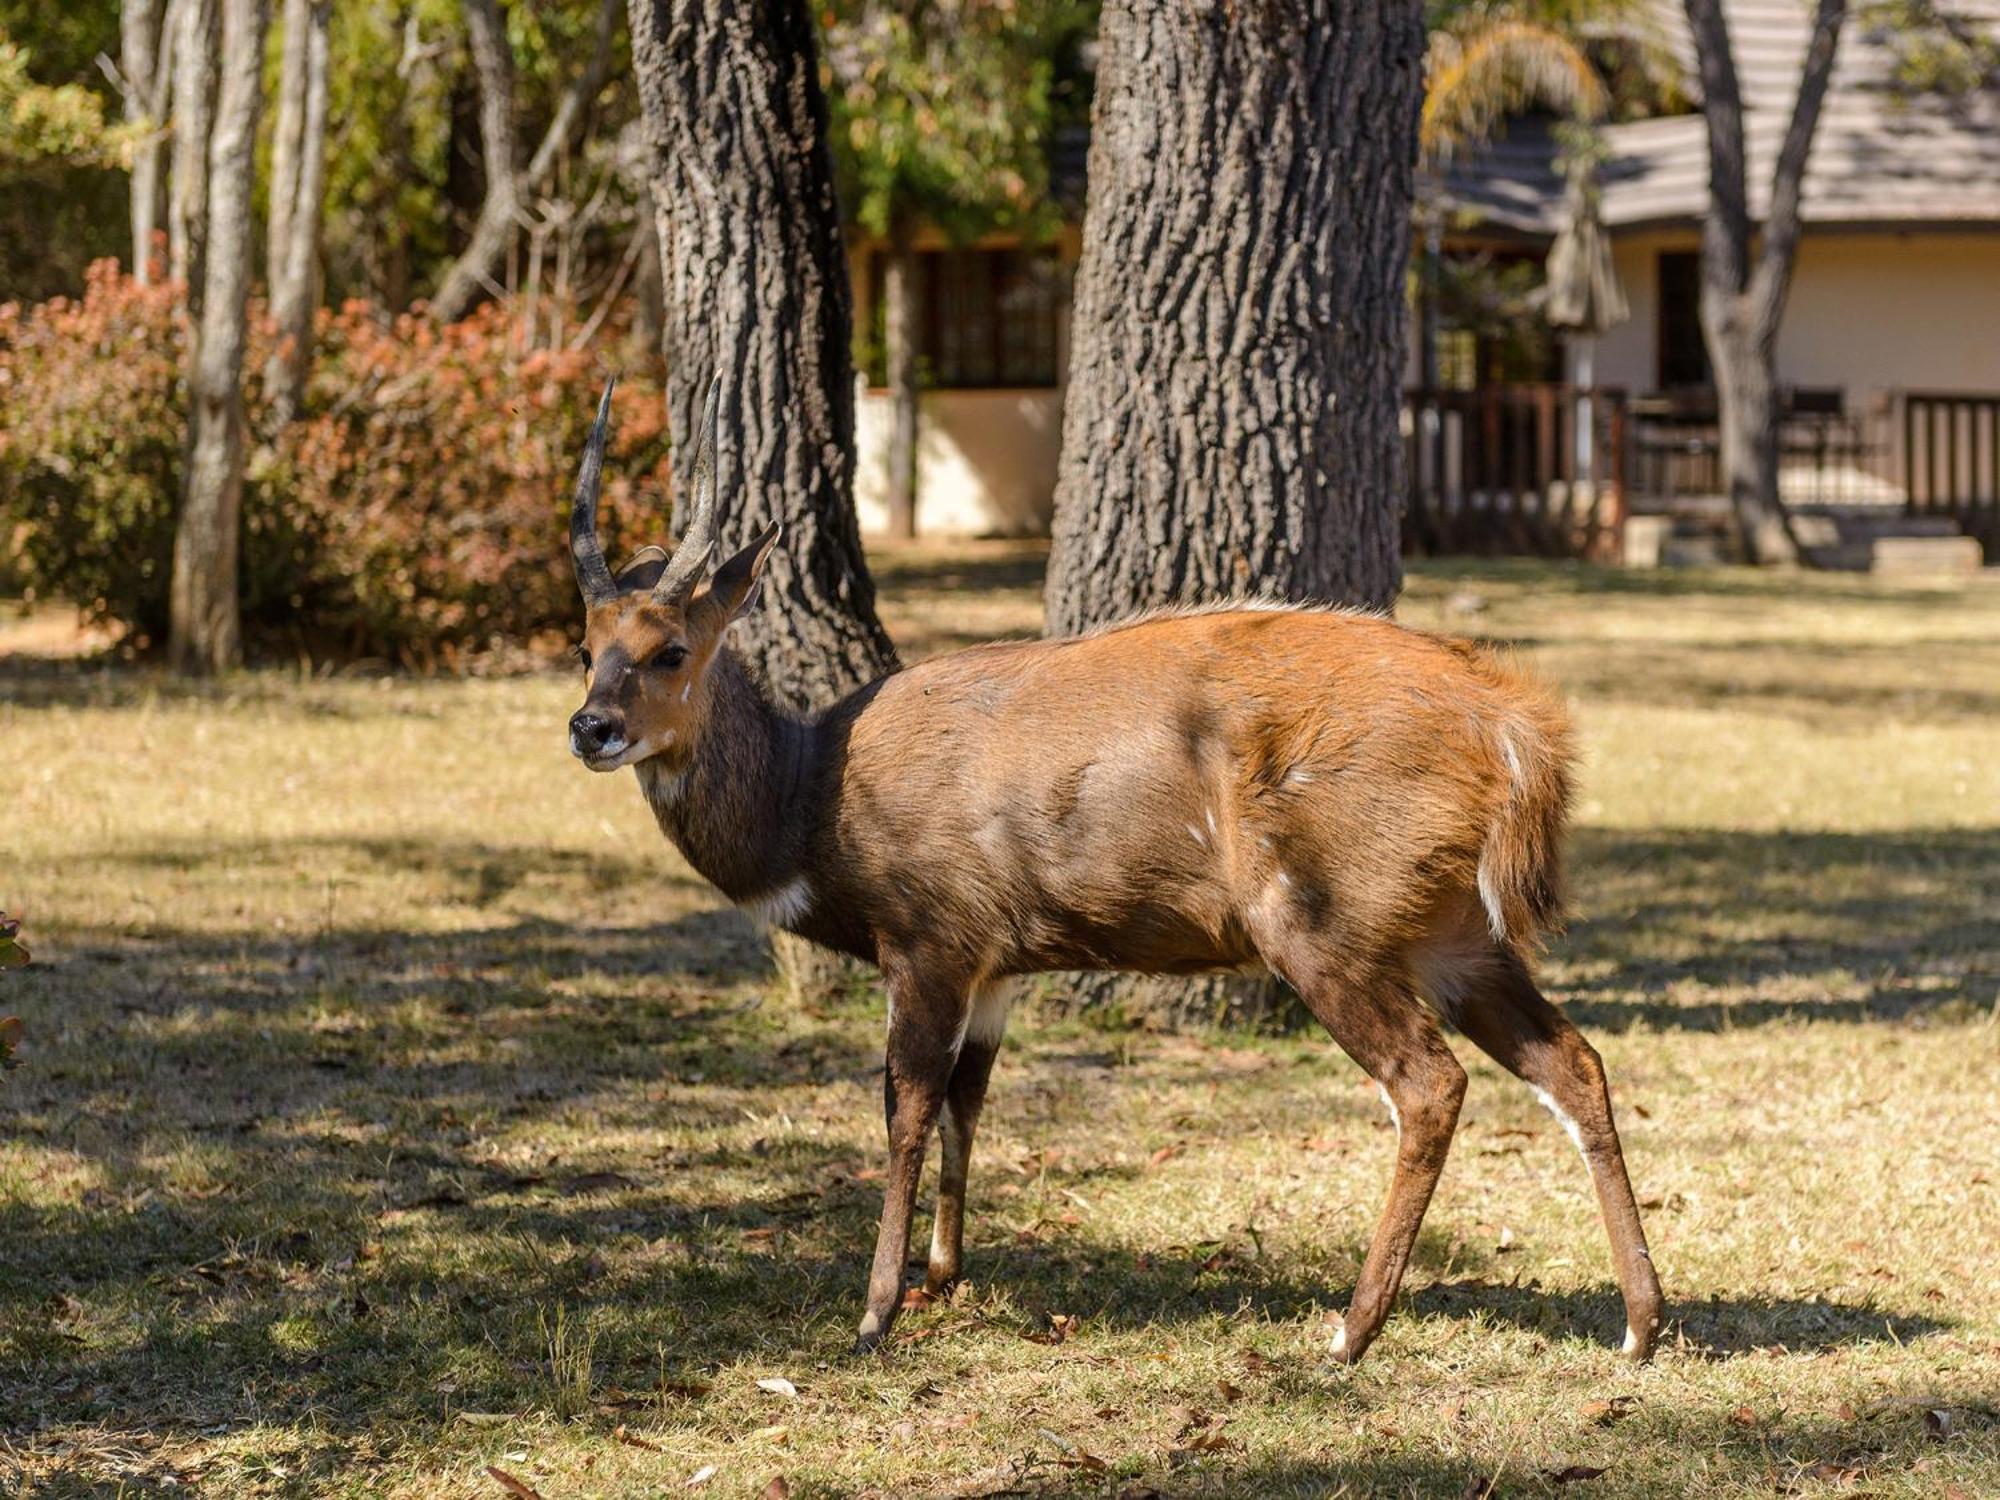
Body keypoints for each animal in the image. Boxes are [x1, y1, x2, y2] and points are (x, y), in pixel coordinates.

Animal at [564, 382, 1656, 1368]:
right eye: (586, 647)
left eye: (670, 649)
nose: (590, 728)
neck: (816, 798)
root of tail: (1514, 727)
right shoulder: (995, 971)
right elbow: (968, 1101)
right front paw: (942, 1277)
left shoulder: (927, 946)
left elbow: (905, 1110)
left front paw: (874, 1313)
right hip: (1455, 935)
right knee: (1574, 1064)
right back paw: (1639, 1327)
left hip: (1320, 927)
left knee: (1429, 1083)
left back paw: (1348, 1334)